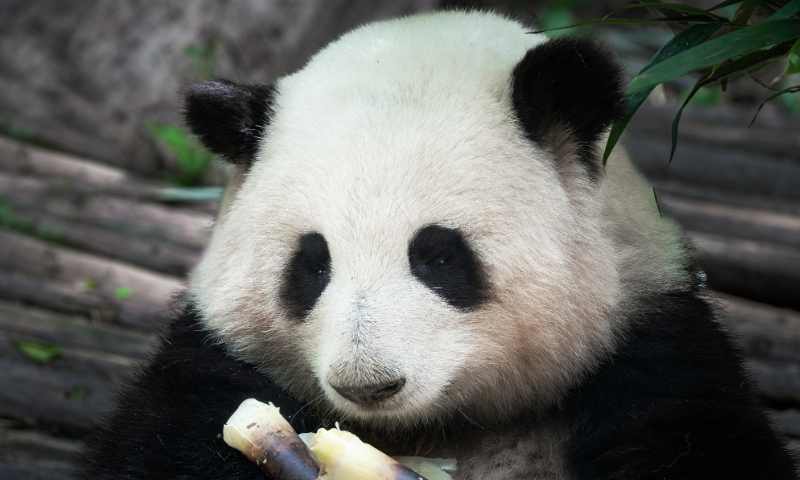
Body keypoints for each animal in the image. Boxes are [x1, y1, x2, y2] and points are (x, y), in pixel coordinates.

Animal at [73, 9, 792, 478]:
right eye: (311, 264)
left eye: (439, 255)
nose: (369, 383)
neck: (436, 425)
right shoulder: (214, 359)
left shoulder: (653, 351)